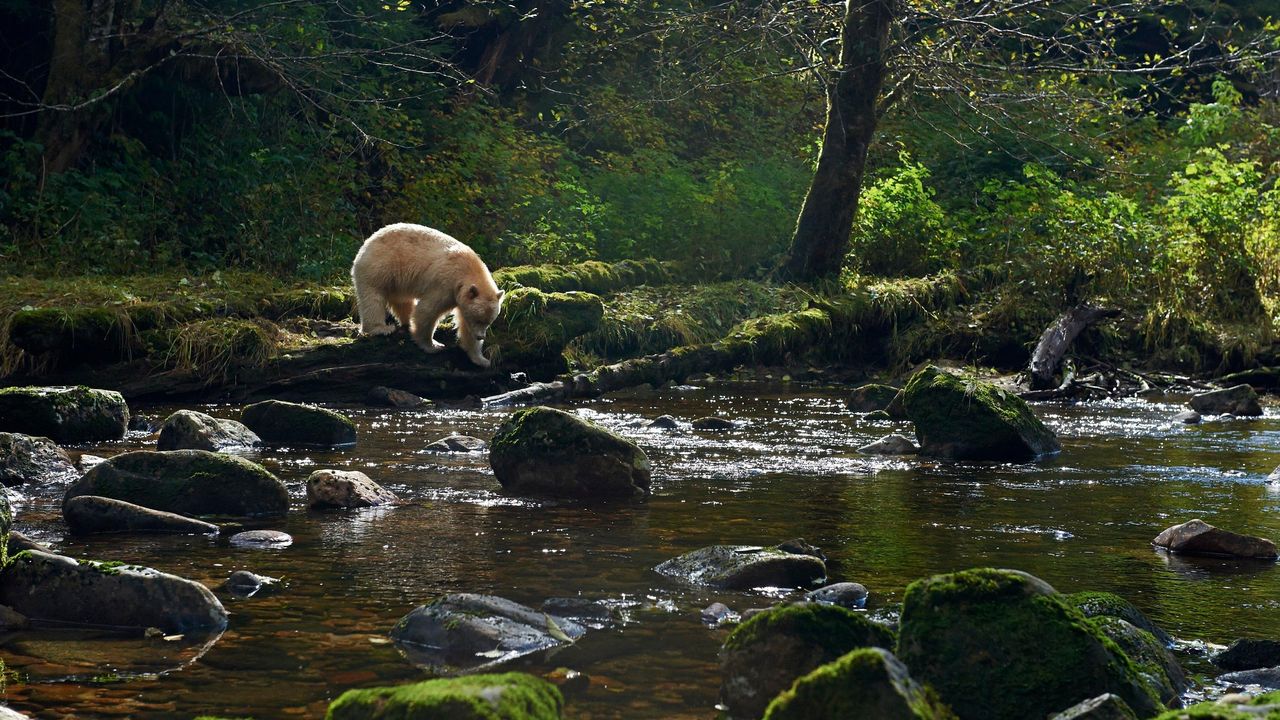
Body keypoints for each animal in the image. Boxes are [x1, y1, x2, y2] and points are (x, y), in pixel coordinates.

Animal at [351, 223, 505, 368]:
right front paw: (433, 345)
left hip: (397, 278)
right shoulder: (445, 284)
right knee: (373, 297)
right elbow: (427, 311)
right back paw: (381, 328)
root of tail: (367, 242)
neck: (468, 269)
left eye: (489, 322)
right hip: (380, 265)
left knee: (402, 300)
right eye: (478, 319)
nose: (480, 337)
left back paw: (405, 320)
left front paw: (482, 360)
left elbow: (465, 327)